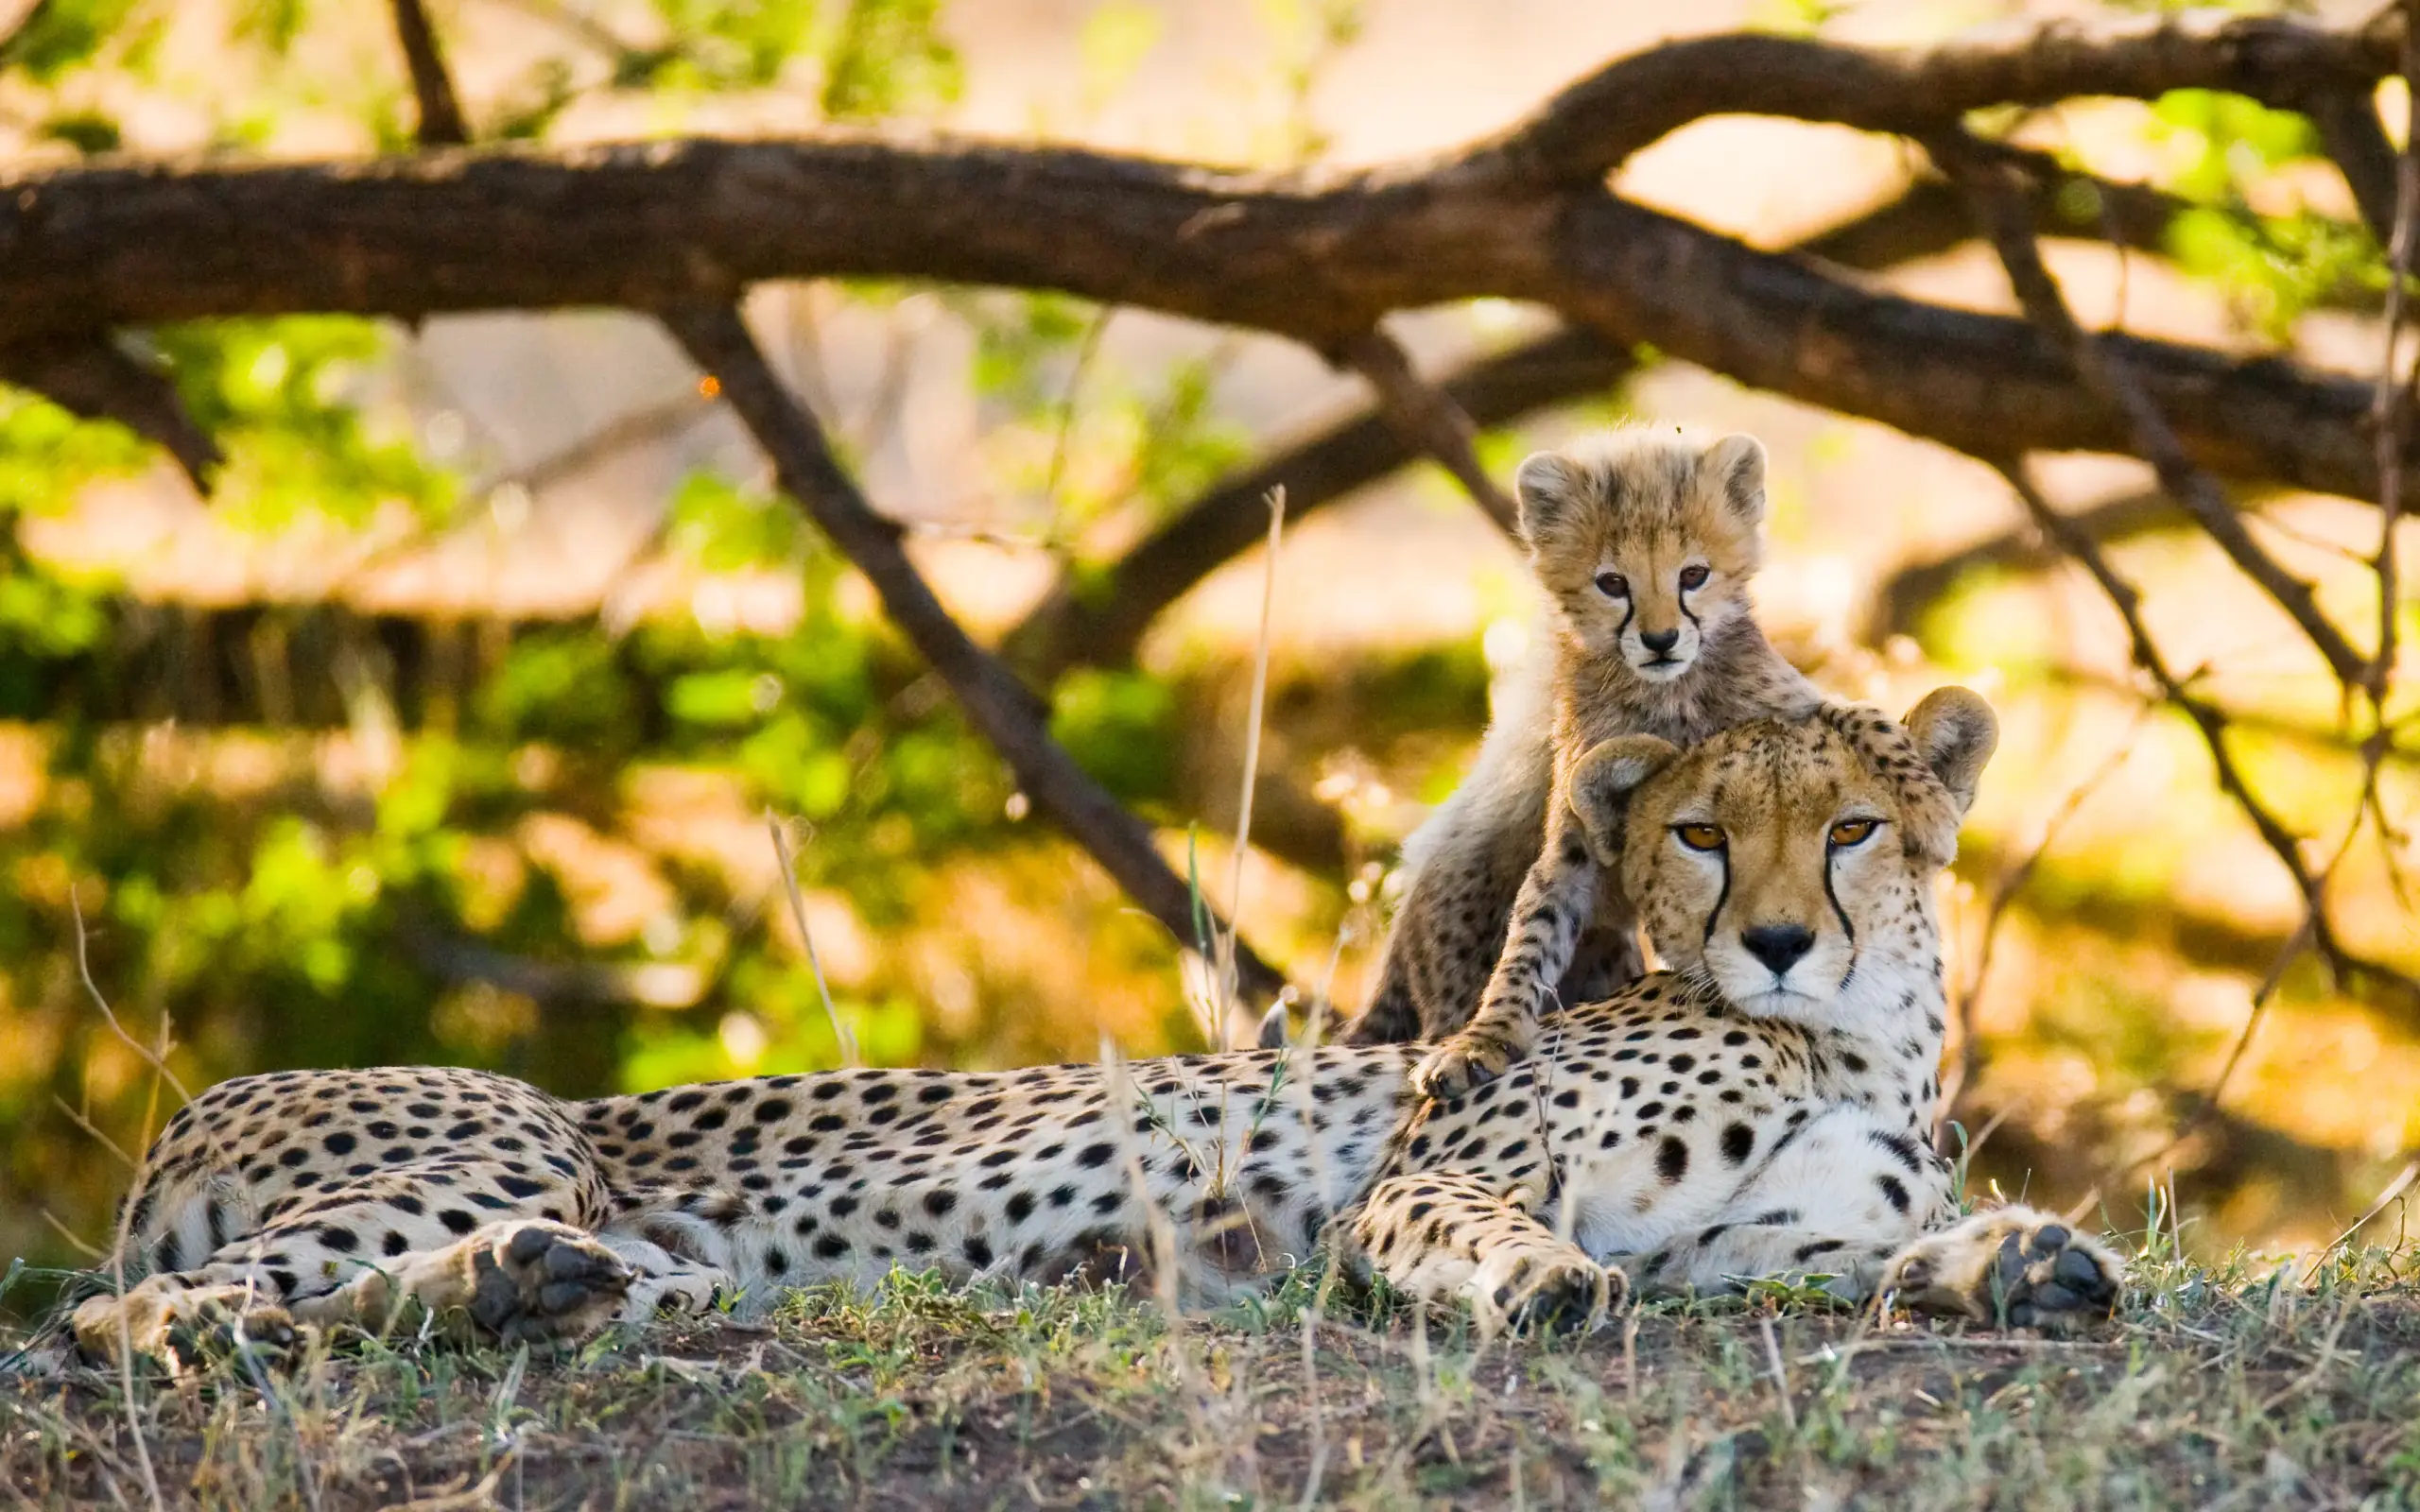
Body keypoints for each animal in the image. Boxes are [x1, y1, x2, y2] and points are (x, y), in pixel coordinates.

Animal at [56, 689, 2118, 1370]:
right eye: (1699, 832)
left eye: (1847, 828)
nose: (1772, 941)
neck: (1848, 1039)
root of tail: (202, 1103)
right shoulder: (1444, 1169)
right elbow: (1486, 1226)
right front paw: (1531, 1284)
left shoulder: (1741, 1242)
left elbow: (1873, 1255)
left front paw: (2020, 1259)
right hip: (492, 1141)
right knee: (122, 1316)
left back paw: (543, 1292)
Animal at [1336, 424, 1821, 1101]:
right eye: (1612, 584)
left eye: (1693, 574)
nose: (1661, 640)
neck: (1666, 698)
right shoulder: (1573, 844)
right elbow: (1533, 935)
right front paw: (1485, 1040)